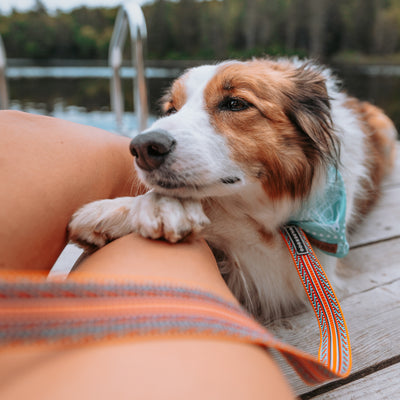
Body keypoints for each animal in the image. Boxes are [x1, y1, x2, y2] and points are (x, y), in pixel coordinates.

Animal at [69, 58, 396, 322]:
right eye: (172, 109)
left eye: (235, 103)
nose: (142, 148)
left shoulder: (295, 265)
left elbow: (226, 218)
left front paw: (158, 206)